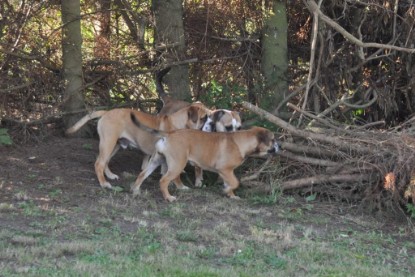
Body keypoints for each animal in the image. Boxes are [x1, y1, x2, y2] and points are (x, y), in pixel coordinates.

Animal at [68, 102, 213, 189]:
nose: (211, 124)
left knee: (105, 162)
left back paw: (110, 175)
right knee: (99, 163)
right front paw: (178, 186)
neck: (179, 123)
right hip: (108, 143)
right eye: (204, 117)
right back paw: (104, 183)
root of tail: (106, 112)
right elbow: (173, 174)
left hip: (114, 145)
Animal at [130, 112, 280, 201]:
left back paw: (136, 190)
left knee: (143, 174)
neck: (242, 141)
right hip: (178, 163)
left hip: (156, 160)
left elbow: (230, 183)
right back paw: (168, 197)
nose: (280, 146)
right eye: (273, 140)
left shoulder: (227, 172)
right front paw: (227, 190)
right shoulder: (225, 170)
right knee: (163, 180)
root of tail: (169, 134)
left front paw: (230, 195)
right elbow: (235, 182)